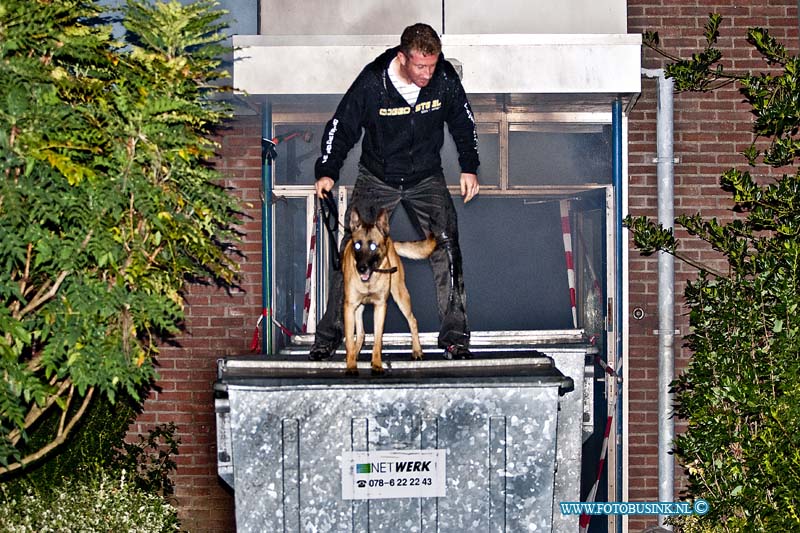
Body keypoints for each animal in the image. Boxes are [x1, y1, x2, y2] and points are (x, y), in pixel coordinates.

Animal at [340, 208, 434, 374]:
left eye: (373, 246)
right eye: (357, 246)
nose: (361, 268)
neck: (370, 280)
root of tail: (389, 240)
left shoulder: (380, 306)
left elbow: (378, 339)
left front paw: (377, 364)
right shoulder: (349, 307)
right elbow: (350, 339)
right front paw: (351, 365)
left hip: (401, 295)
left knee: (412, 320)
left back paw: (417, 350)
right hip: (357, 308)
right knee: (361, 333)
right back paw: (354, 354)